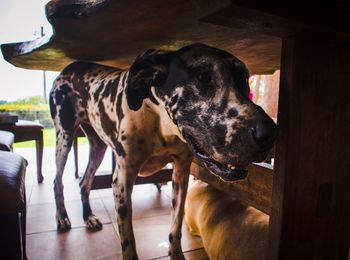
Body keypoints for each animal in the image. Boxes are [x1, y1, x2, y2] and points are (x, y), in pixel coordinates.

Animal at [48, 43, 276, 258]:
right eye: (203, 76)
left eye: (245, 78)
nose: (269, 133)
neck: (161, 126)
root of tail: (69, 67)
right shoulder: (122, 181)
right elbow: (128, 241)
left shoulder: (181, 173)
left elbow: (176, 225)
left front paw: (176, 253)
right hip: (64, 138)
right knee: (57, 180)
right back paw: (62, 218)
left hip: (98, 147)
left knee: (84, 181)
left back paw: (87, 216)